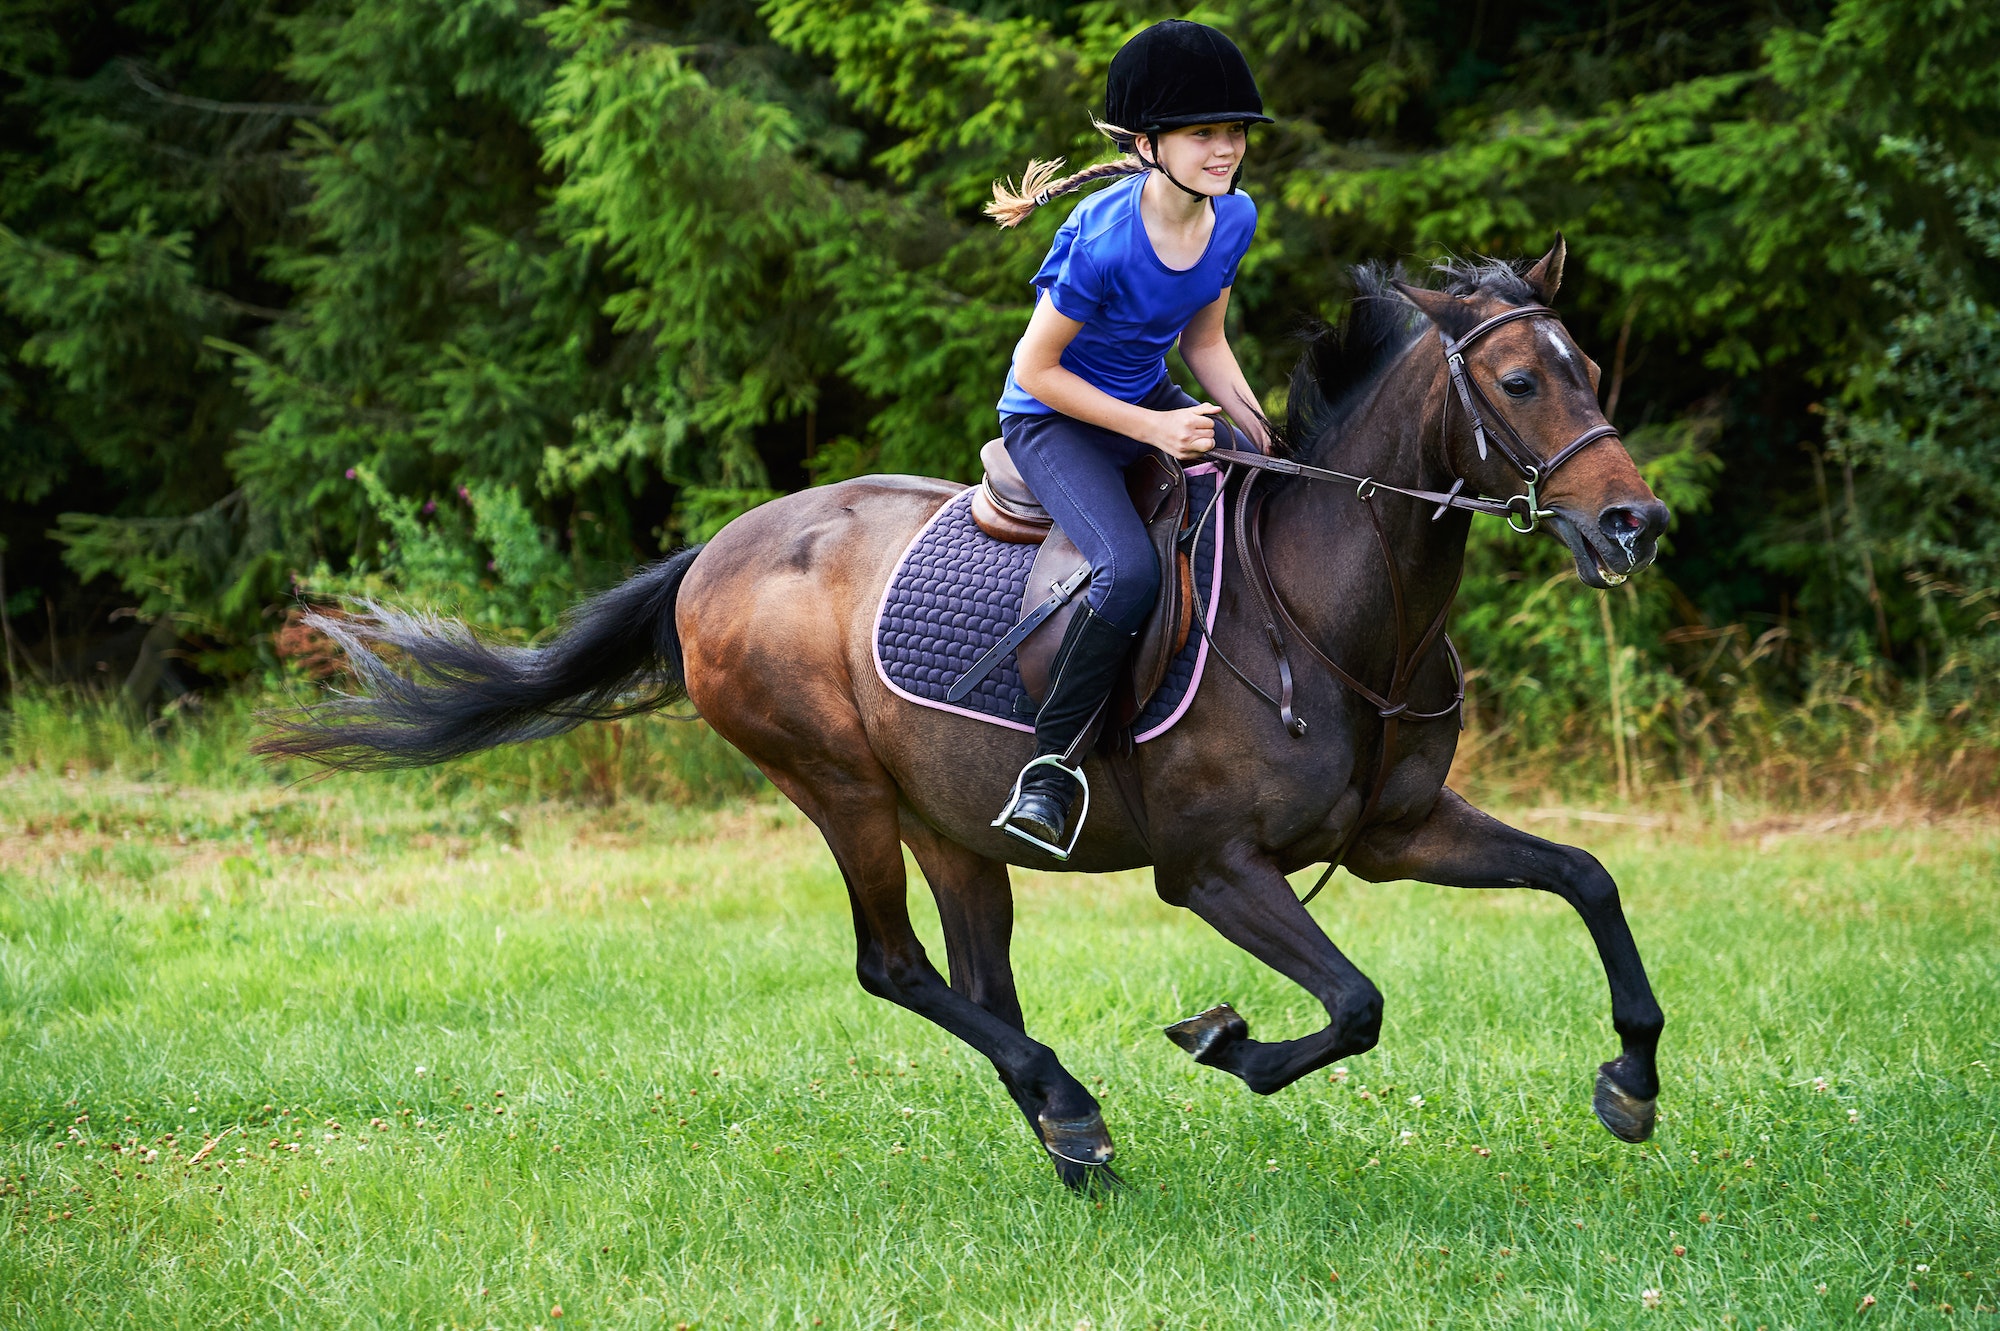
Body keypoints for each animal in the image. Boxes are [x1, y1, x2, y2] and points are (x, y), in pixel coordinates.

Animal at [262, 238, 1671, 1191]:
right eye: (1515, 383)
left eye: (1592, 368)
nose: (1634, 523)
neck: (1334, 608)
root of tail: (717, 548)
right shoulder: (1211, 868)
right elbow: (1356, 1002)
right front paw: (1223, 1040)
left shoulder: (1396, 831)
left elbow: (1587, 878)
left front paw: (1631, 1080)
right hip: (840, 789)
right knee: (894, 966)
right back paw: (1071, 1106)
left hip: (954, 821)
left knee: (976, 977)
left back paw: (1069, 1132)